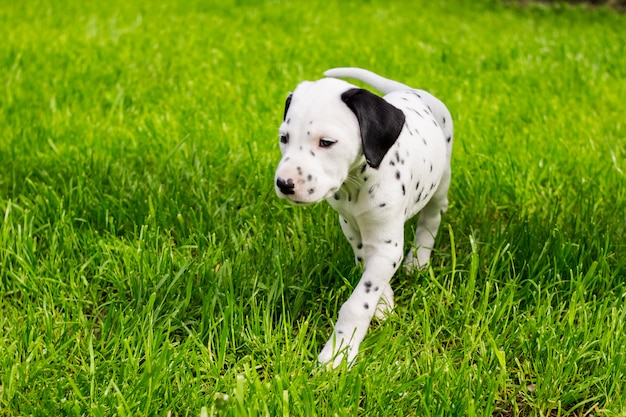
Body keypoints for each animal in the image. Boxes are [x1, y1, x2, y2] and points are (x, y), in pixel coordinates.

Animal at [276, 66, 450, 366]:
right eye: (284, 138)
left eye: (326, 142)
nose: (284, 184)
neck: (355, 186)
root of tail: (409, 90)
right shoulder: (350, 226)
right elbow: (365, 266)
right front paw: (383, 301)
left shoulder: (386, 246)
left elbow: (357, 303)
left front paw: (338, 353)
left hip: (441, 182)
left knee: (431, 218)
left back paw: (418, 260)